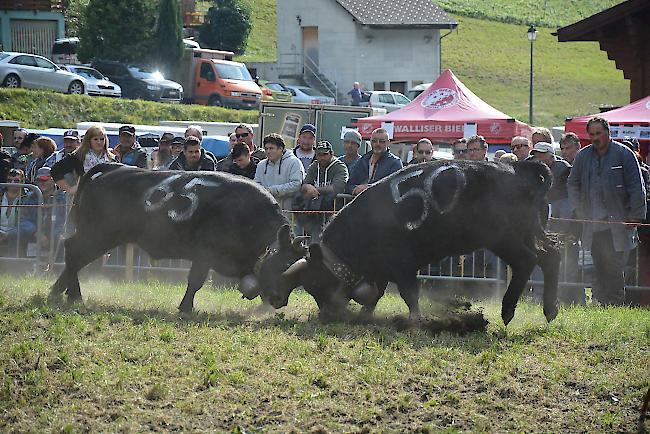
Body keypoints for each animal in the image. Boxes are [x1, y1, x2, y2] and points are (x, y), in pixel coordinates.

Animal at [256, 160, 560, 326]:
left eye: (315, 283)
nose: (328, 315)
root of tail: (518, 167)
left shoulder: (402, 265)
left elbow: (409, 294)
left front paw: (414, 320)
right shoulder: (381, 270)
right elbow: (376, 294)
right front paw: (365, 315)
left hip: (503, 238)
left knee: (527, 261)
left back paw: (508, 310)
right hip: (527, 232)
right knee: (550, 256)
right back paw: (550, 309)